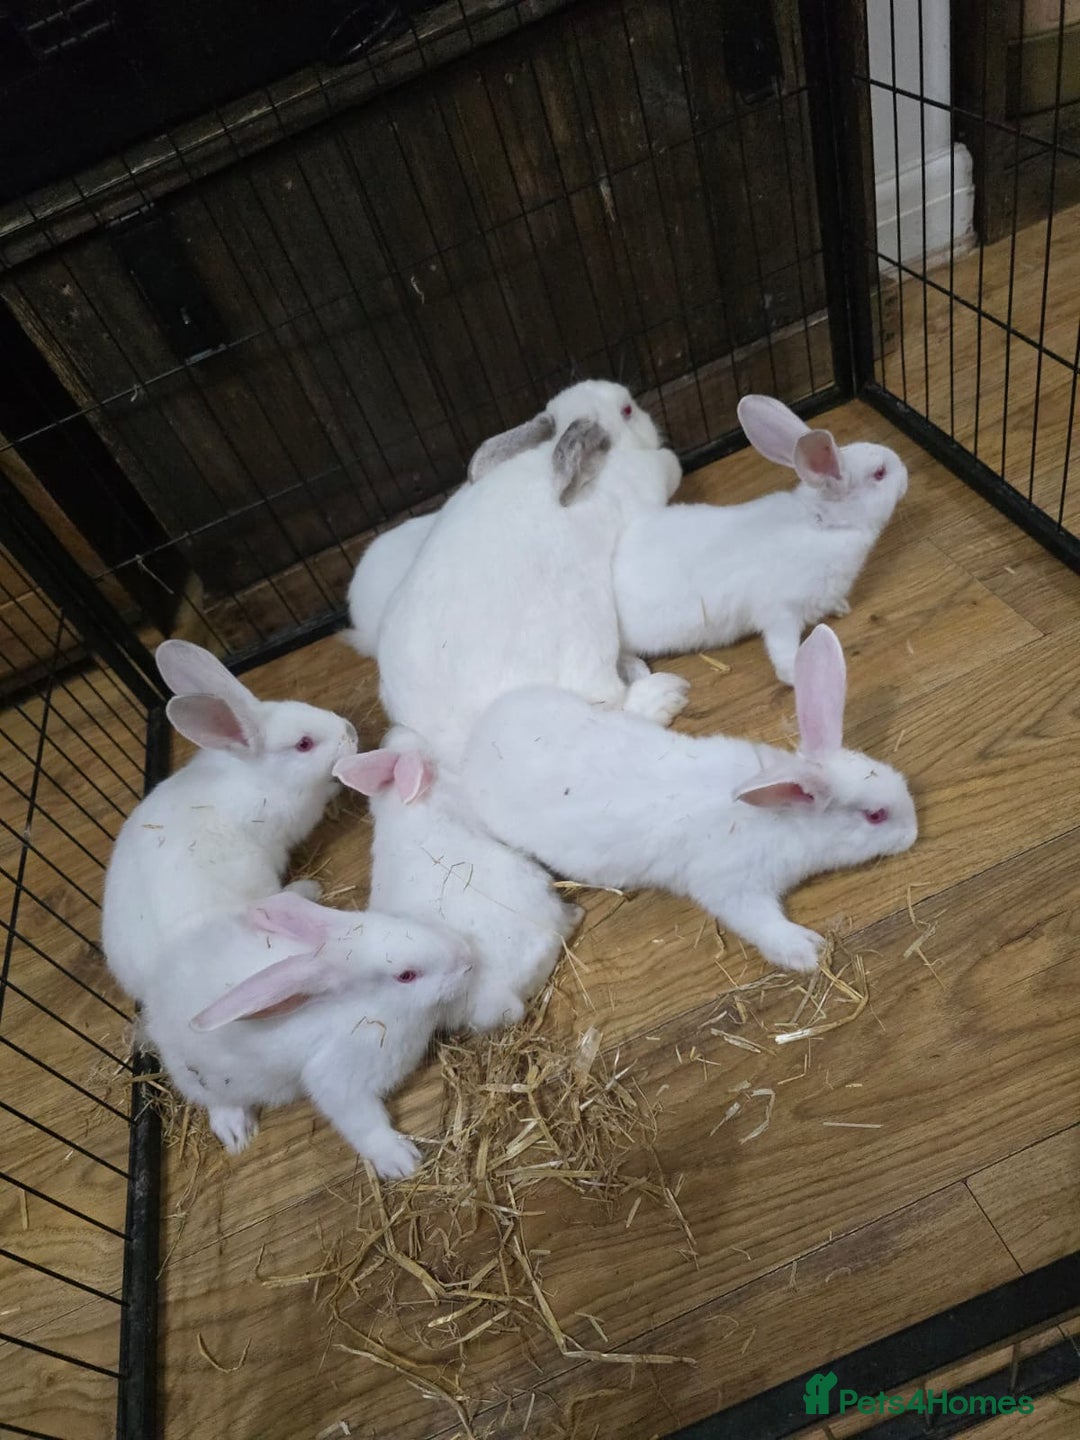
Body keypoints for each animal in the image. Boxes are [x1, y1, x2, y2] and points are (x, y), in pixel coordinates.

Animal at [140, 890, 471, 1176]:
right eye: (406, 975)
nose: (467, 958)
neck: (369, 1009)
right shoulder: (338, 1082)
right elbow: (363, 1122)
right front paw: (401, 1162)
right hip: (202, 1076)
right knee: (213, 1099)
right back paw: (237, 1131)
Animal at [376, 379, 688, 764]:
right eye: (627, 410)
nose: (651, 422)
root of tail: (453, 743)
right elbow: (668, 467)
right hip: (587, 637)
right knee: (606, 705)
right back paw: (664, 696)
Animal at [460, 625, 917, 974]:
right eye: (876, 816)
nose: (914, 833)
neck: (782, 815)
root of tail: (483, 730)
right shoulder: (731, 886)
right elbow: (759, 922)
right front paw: (806, 950)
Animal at [613, 395, 909, 685]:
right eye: (880, 473)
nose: (906, 474)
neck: (823, 523)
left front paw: (841, 608)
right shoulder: (780, 610)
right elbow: (782, 649)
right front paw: (794, 676)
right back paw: (638, 671)